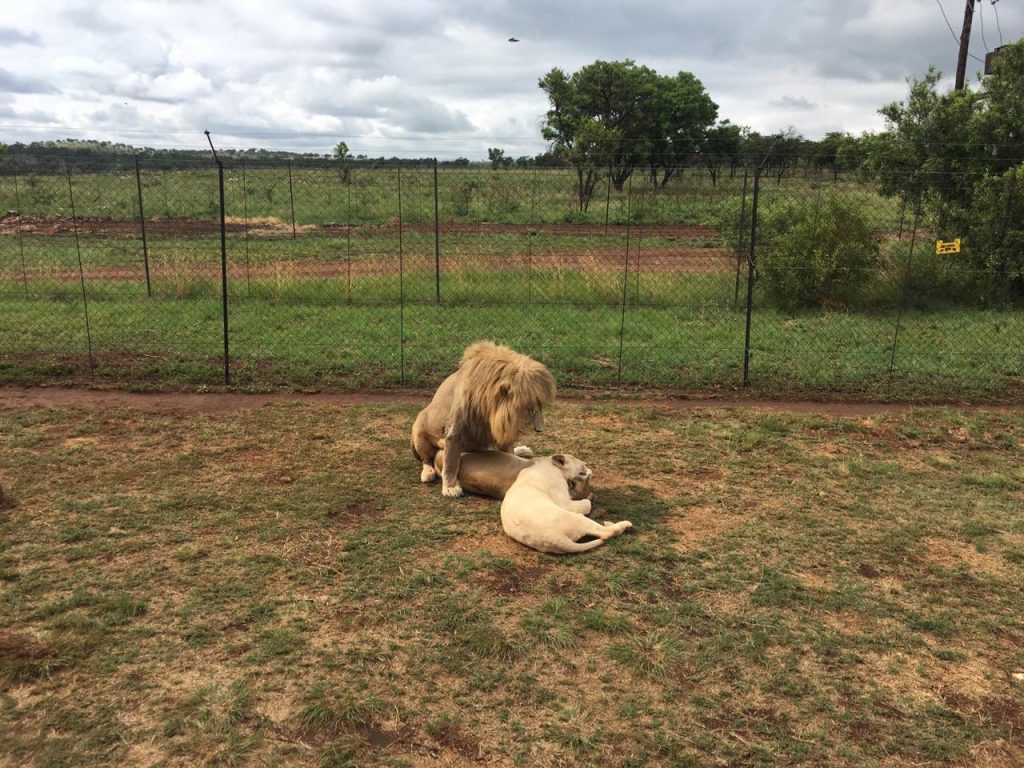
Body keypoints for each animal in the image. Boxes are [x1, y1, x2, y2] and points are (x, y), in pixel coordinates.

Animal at [411, 341, 557, 498]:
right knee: (427, 459)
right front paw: (450, 488)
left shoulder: (503, 430)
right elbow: (451, 461)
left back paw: (522, 450)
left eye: (540, 407)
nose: (540, 430)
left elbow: (508, 454)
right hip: (419, 433)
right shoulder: (454, 431)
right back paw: (428, 473)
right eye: (529, 409)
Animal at [501, 454, 631, 554]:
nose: (586, 463)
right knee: (606, 533)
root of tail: (556, 540)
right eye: (574, 458)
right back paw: (624, 524)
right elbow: (586, 504)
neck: (549, 464)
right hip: (578, 518)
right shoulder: (564, 501)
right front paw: (589, 497)